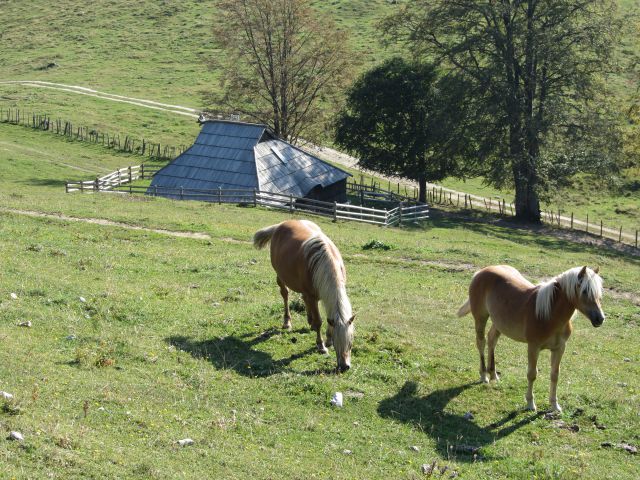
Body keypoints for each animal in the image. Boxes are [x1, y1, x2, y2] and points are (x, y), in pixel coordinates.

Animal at [252, 219, 356, 374]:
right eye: (338, 345)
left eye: (350, 343)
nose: (344, 367)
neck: (324, 261)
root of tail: (281, 224)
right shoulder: (312, 296)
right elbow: (319, 321)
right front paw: (321, 346)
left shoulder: (322, 295)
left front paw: (327, 339)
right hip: (281, 277)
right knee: (285, 295)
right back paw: (287, 322)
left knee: (303, 299)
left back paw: (309, 321)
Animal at [458, 264, 604, 410]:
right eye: (584, 291)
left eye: (598, 293)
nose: (600, 318)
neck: (550, 314)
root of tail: (481, 271)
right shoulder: (533, 347)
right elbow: (532, 374)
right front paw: (530, 403)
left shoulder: (560, 348)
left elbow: (555, 375)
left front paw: (554, 405)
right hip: (480, 318)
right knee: (481, 342)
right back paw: (484, 375)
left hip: (498, 323)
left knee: (492, 340)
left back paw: (493, 374)